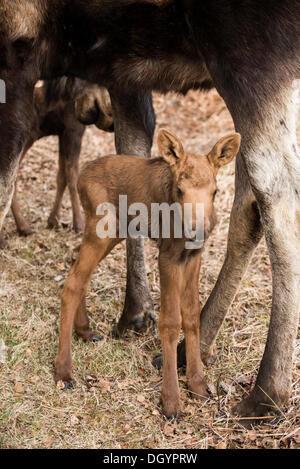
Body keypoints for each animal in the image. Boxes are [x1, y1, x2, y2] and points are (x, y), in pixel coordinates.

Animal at [0, 77, 113, 249]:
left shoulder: (62, 131)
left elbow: (61, 176)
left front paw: (53, 220)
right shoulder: (74, 127)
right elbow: (72, 176)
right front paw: (78, 224)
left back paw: (23, 227)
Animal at [54, 129, 241, 416]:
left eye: (215, 191)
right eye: (179, 189)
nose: (196, 232)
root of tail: (82, 175)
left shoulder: (193, 255)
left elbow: (192, 315)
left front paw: (198, 385)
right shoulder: (168, 255)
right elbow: (171, 321)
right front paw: (171, 401)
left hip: (113, 232)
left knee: (78, 267)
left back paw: (84, 330)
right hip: (102, 230)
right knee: (73, 282)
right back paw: (63, 371)